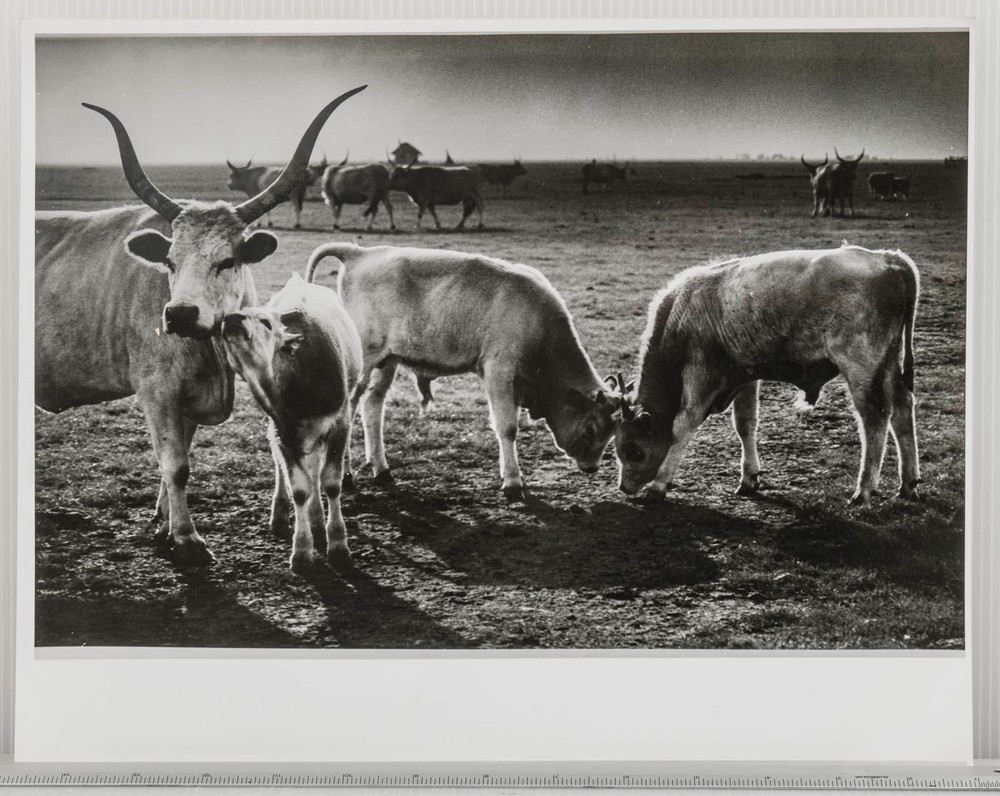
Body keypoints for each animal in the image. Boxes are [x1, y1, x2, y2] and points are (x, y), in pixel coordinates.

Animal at [220, 273, 362, 573]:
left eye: (265, 321)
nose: (232, 318)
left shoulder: (339, 424)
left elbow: (331, 483)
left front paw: (338, 544)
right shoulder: (283, 431)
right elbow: (299, 488)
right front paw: (302, 551)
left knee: (317, 470)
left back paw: (319, 521)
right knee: (287, 469)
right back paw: (286, 514)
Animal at [304, 242, 616, 501]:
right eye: (590, 429)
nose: (592, 468)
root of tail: (360, 252)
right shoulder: (498, 370)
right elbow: (507, 428)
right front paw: (513, 482)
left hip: (387, 360)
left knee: (373, 406)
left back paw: (382, 470)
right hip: (365, 360)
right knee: (350, 409)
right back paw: (346, 477)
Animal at [611, 245, 921, 507]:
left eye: (633, 450)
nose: (624, 487)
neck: (682, 309)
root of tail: (888, 259)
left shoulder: (701, 376)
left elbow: (683, 425)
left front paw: (659, 486)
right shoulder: (745, 376)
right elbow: (745, 424)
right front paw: (749, 479)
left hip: (862, 369)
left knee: (875, 418)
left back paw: (864, 490)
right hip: (888, 365)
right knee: (902, 409)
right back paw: (907, 484)